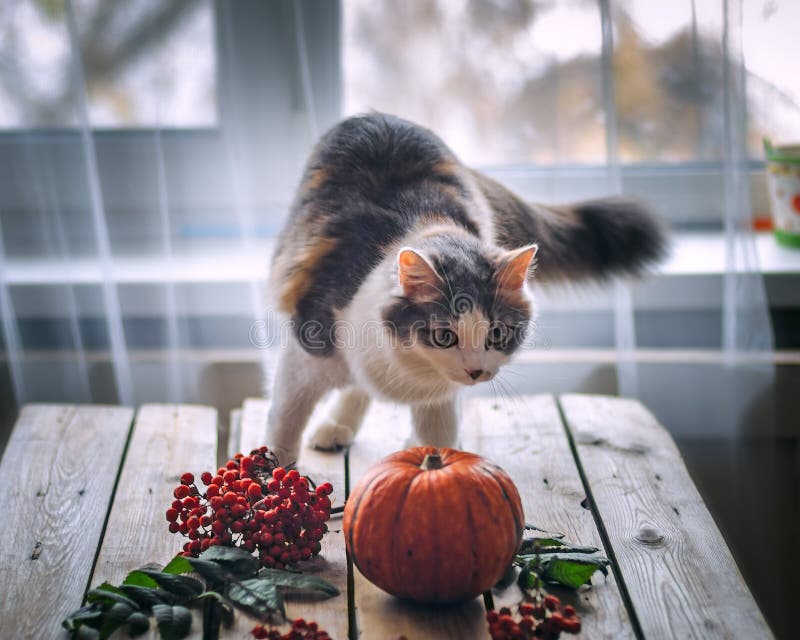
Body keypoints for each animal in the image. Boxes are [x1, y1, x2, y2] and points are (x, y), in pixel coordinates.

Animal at [262, 112, 664, 464]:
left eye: (497, 334)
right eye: (444, 337)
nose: (475, 372)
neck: (404, 369)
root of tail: (383, 116)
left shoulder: (440, 397)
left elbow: (437, 436)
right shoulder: (307, 348)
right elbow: (285, 418)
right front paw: (273, 470)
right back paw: (334, 428)